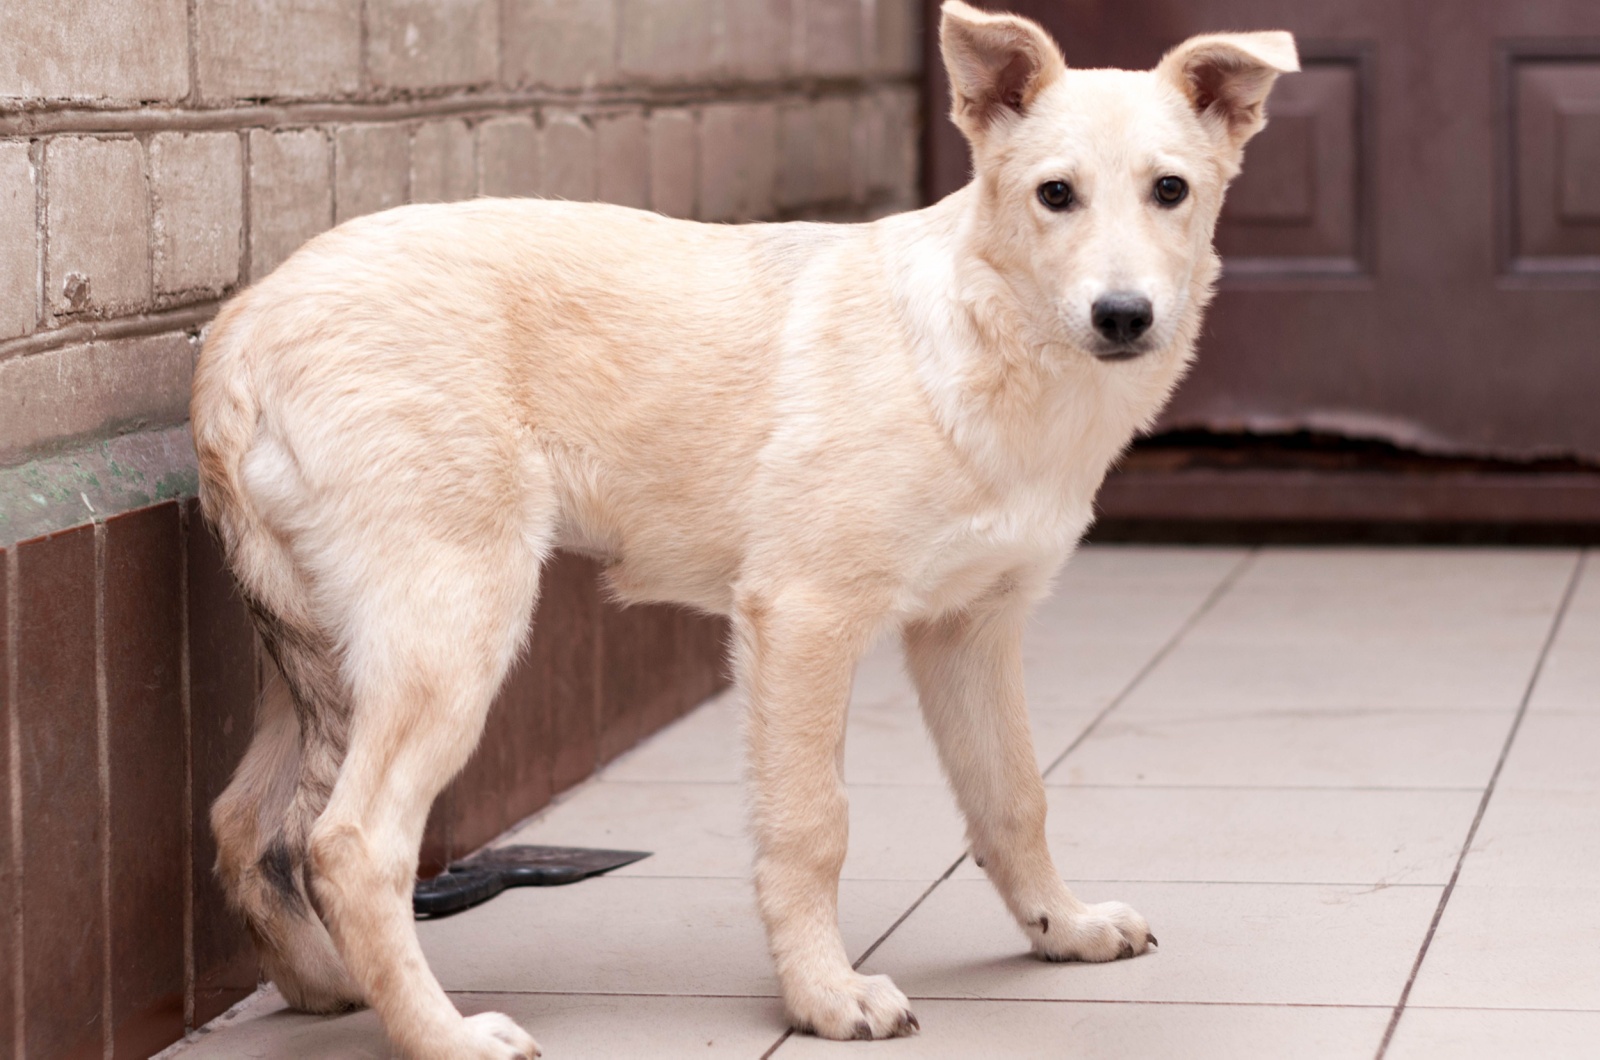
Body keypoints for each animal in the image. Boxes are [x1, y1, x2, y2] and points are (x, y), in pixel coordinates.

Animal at [187, 4, 1292, 1056]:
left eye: (1170, 191)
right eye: (1054, 195)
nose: (1123, 316)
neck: (986, 342)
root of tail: (244, 322)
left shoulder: (969, 629)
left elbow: (1013, 795)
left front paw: (1061, 927)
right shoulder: (801, 619)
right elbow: (812, 825)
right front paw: (825, 996)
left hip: (330, 653)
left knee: (247, 820)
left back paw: (330, 986)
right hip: (449, 626)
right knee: (350, 843)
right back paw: (442, 1035)